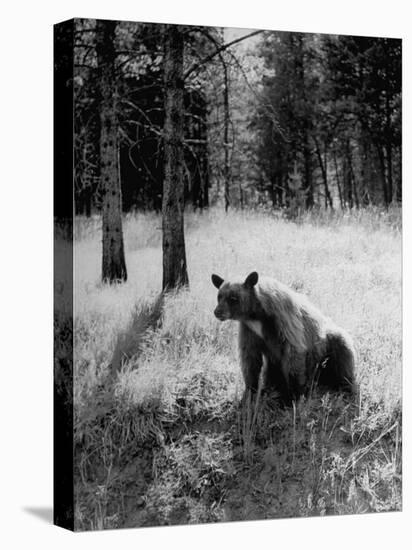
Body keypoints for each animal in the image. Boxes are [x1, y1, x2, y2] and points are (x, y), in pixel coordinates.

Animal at [211, 272, 356, 406]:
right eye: (219, 296)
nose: (217, 312)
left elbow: (293, 353)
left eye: (233, 298)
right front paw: (250, 393)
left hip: (327, 346)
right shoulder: (249, 330)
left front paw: (292, 397)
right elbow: (250, 358)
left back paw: (345, 387)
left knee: (343, 355)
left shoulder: (284, 320)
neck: (256, 315)